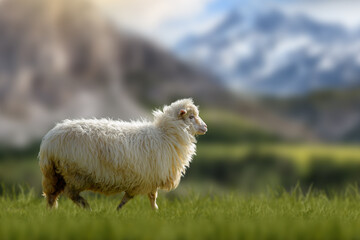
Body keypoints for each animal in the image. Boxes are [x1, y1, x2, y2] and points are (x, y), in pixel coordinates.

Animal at [38, 98, 208, 209]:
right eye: (191, 117)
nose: (205, 127)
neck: (165, 135)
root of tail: (49, 141)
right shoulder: (149, 178)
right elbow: (147, 198)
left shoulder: (148, 179)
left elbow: (143, 199)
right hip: (75, 174)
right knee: (71, 194)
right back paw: (87, 207)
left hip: (54, 174)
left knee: (51, 196)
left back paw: (51, 214)